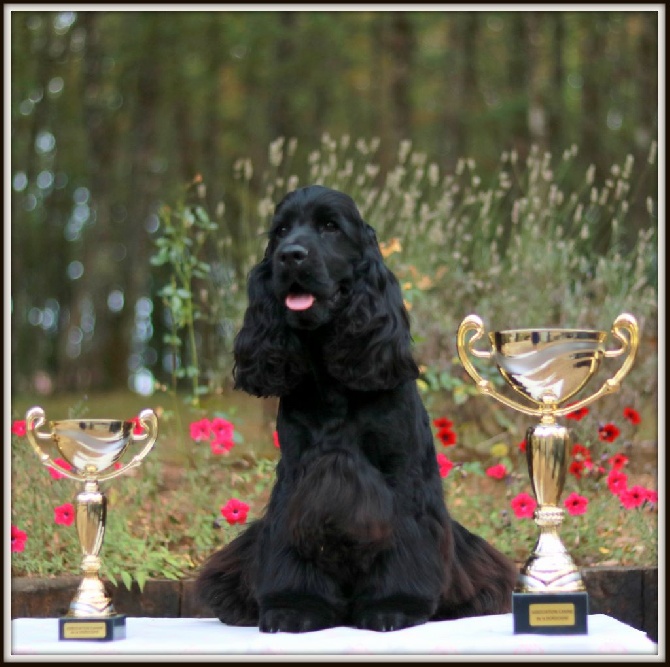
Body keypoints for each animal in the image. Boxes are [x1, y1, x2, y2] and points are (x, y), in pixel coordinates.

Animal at [196, 185, 520, 636]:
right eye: (281, 232)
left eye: (330, 227)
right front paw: (294, 607)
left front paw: (393, 607)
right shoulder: (298, 476)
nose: (290, 256)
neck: (335, 382)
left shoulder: (401, 476)